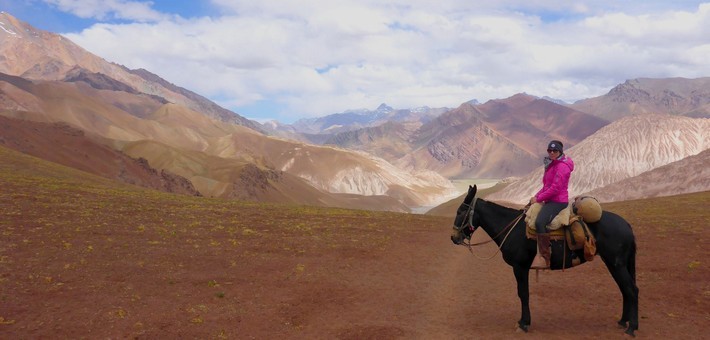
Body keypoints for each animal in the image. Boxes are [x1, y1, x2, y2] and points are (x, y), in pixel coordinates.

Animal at [454, 186, 644, 338]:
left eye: (460, 212)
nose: (453, 237)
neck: (511, 228)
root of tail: (626, 225)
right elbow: (523, 294)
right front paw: (524, 321)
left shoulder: (520, 267)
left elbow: (523, 294)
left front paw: (524, 323)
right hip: (613, 263)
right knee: (624, 290)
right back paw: (623, 321)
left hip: (617, 264)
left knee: (632, 290)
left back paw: (631, 328)